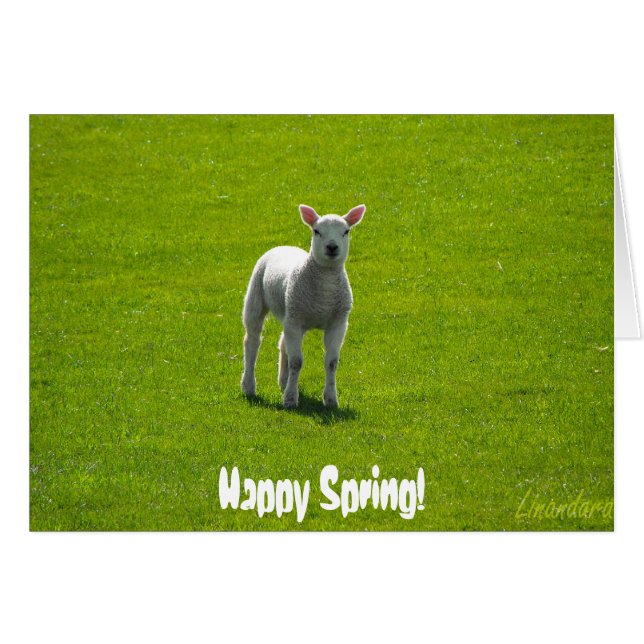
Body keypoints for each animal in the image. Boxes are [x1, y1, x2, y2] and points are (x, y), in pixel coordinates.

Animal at [241, 204, 366, 408]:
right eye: (316, 231)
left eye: (346, 231)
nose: (332, 247)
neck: (325, 289)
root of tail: (284, 246)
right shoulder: (295, 321)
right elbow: (296, 362)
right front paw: (291, 399)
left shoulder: (338, 322)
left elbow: (331, 362)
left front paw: (331, 399)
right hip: (257, 297)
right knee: (252, 341)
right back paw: (248, 386)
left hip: (292, 313)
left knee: (283, 342)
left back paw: (283, 382)